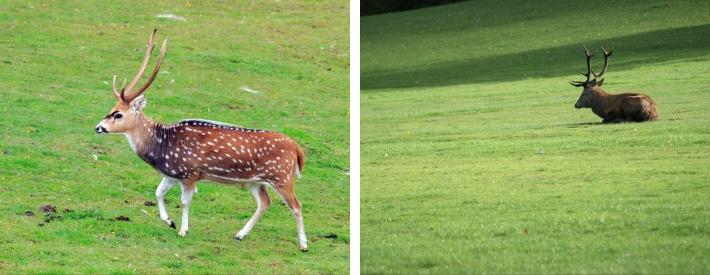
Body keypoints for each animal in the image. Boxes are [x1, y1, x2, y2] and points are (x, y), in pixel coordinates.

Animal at [94, 30, 308, 252]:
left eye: (118, 114)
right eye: (112, 109)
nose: (98, 127)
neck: (162, 145)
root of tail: (297, 150)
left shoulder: (190, 173)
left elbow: (185, 201)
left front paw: (182, 230)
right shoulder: (171, 174)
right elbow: (158, 193)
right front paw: (169, 221)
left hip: (282, 177)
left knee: (297, 205)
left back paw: (303, 244)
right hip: (256, 181)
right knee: (265, 202)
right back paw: (240, 234)